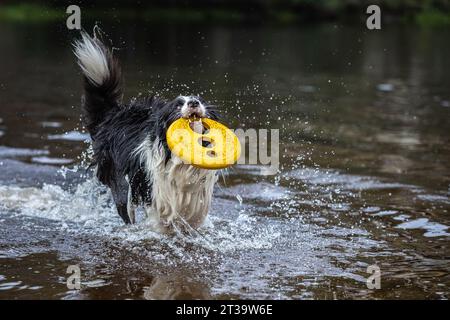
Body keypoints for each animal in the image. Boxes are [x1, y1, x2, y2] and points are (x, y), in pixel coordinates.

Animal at [74, 31, 220, 232]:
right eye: (177, 105)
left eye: (200, 101)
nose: (193, 103)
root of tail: (116, 113)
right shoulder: (155, 195)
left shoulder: (196, 205)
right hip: (120, 182)